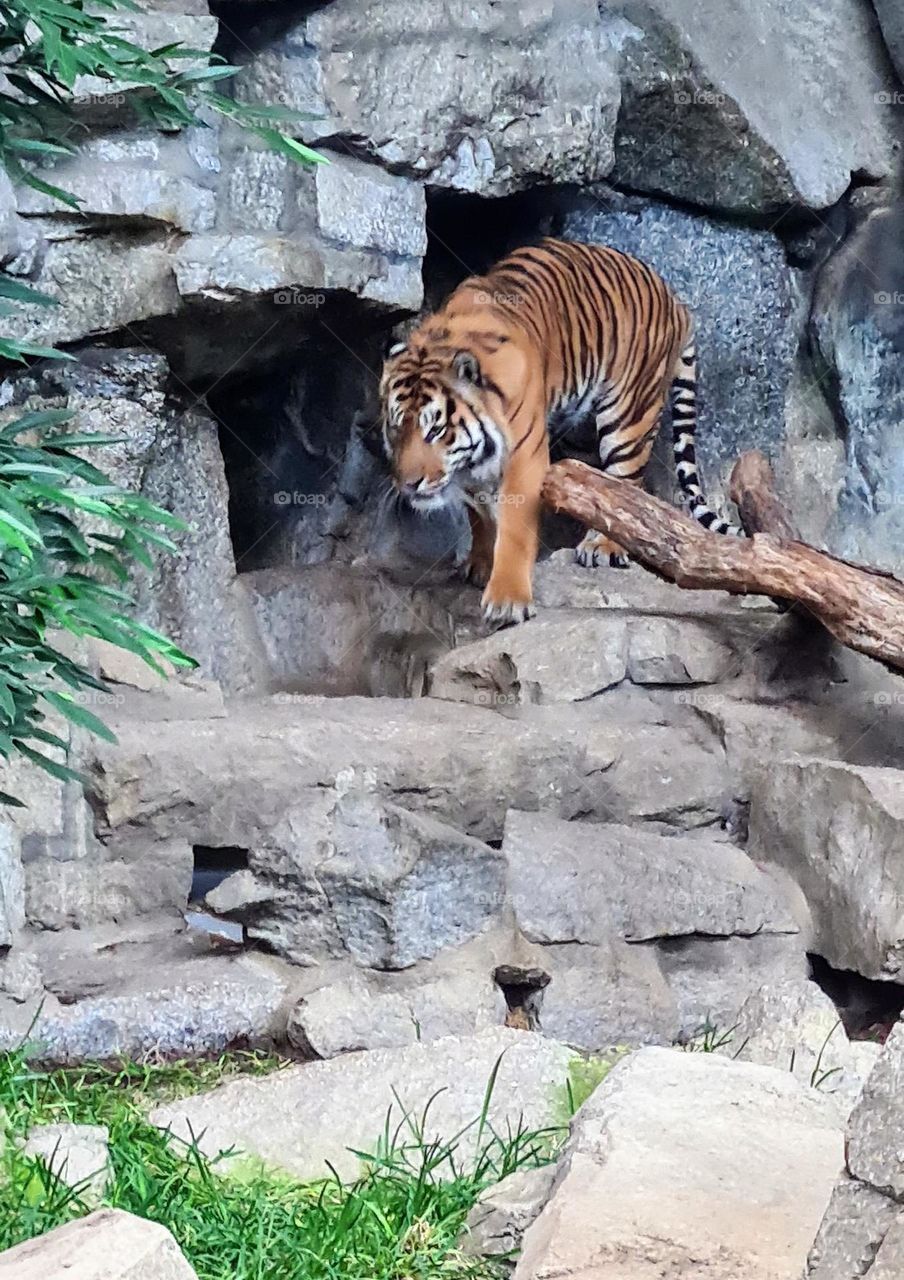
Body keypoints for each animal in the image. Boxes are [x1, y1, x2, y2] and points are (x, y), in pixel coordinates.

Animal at [380, 237, 738, 627]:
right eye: (396, 428)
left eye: (436, 430)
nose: (409, 485)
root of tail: (676, 301)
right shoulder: (472, 467)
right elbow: (479, 514)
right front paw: (481, 563)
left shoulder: (525, 456)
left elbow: (515, 528)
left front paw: (507, 601)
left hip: (630, 414)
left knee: (625, 485)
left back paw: (603, 547)